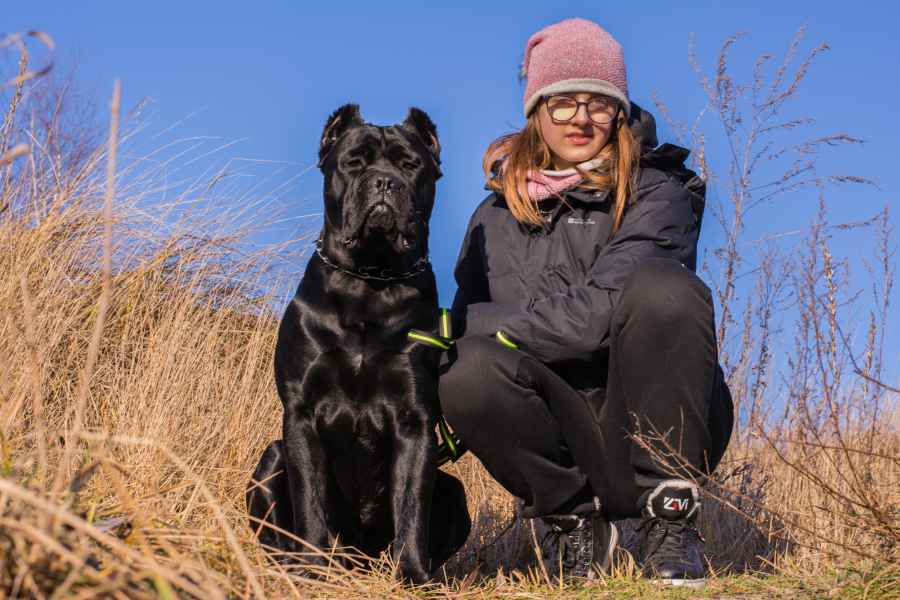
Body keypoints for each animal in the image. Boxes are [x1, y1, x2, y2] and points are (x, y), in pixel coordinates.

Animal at [247, 104, 470, 583]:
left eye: (411, 164)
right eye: (354, 162)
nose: (385, 181)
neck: (370, 279)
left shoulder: (414, 419)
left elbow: (411, 505)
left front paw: (413, 574)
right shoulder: (302, 413)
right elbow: (311, 499)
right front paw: (313, 565)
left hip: (454, 491)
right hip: (271, 459)